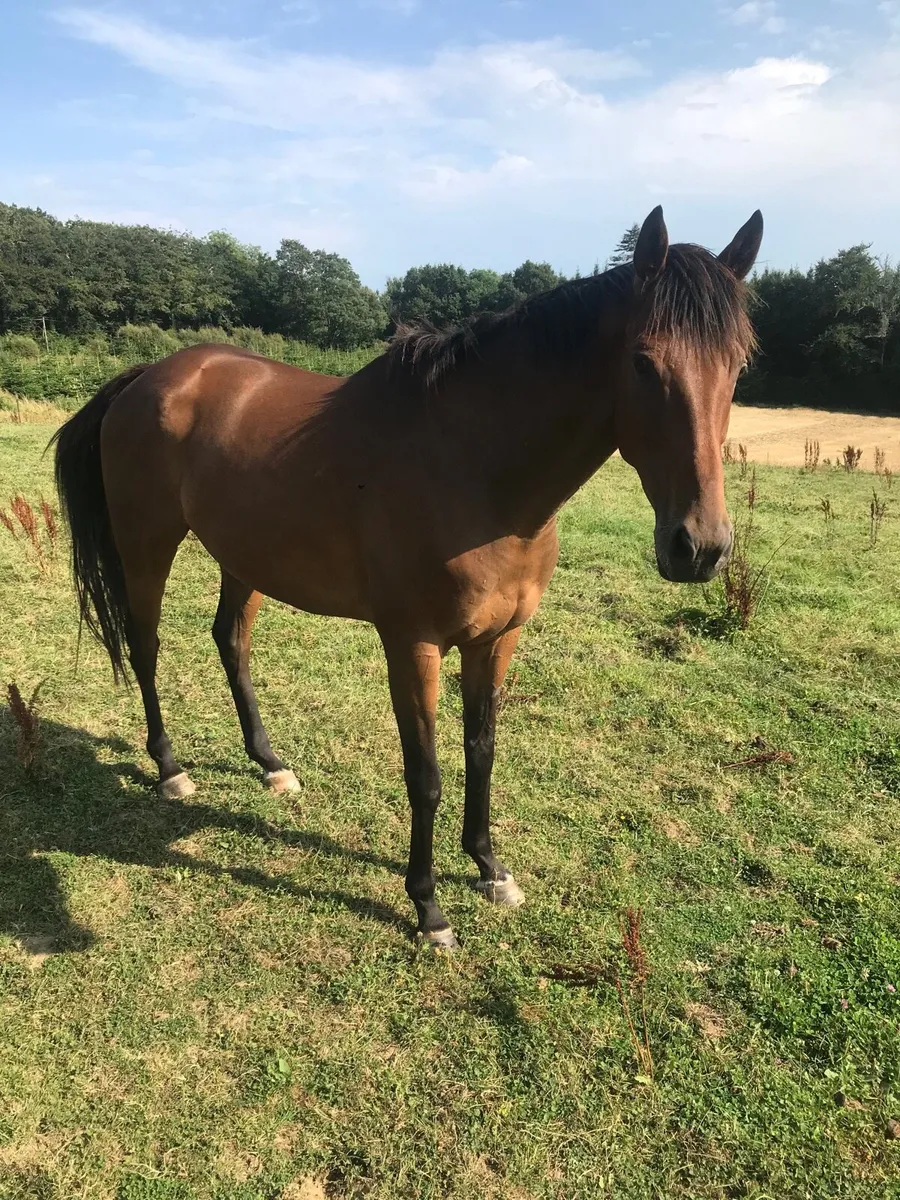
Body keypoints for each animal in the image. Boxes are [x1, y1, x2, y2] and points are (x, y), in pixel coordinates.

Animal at [52, 206, 763, 948]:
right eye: (644, 363)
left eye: (739, 365)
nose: (700, 547)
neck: (476, 471)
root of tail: (148, 376)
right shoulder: (413, 644)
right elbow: (425, 774)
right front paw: (427, 908)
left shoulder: (496, 640)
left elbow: (481, 750)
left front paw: (489, 868)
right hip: (147, 543)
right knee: (146, 645)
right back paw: (170, 769)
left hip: (242, 556)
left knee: (230, 641)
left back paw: (270, 764)